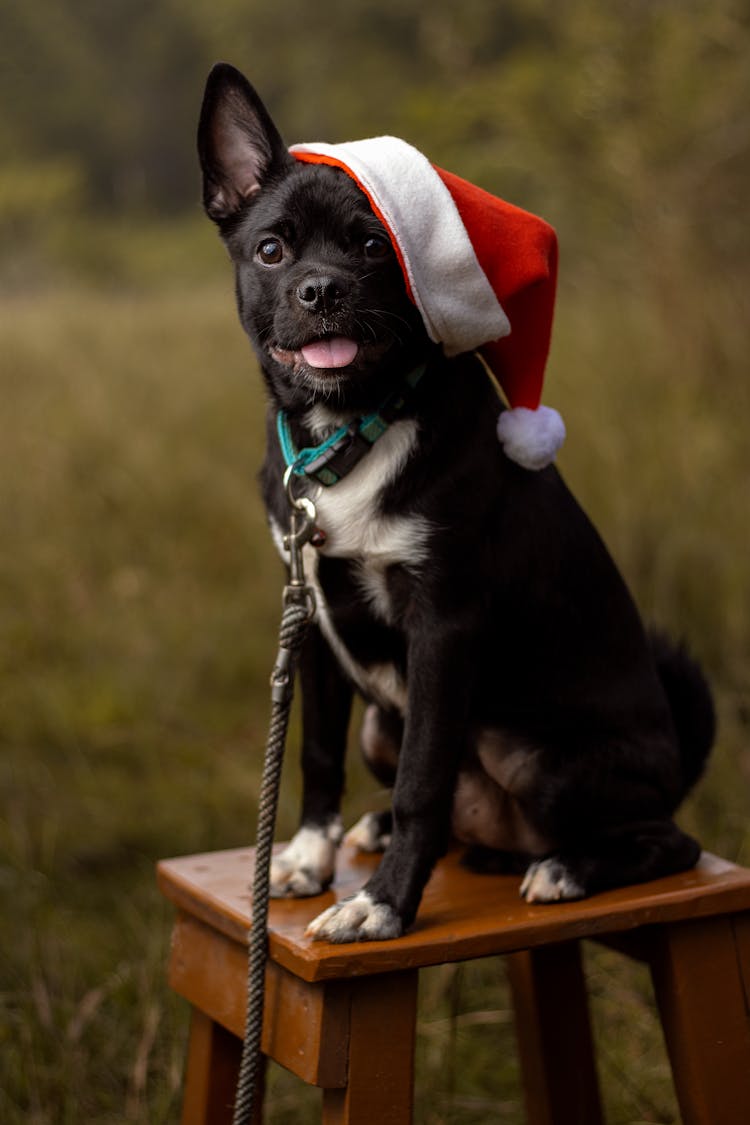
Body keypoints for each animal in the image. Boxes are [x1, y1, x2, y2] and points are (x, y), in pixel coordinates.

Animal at [196, 61, 715, 940]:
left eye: (375, 246)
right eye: (270, 249)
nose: (321, 289)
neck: (356, 423)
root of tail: (674, 764)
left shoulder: (443, 624)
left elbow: (423, 781)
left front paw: (381, 904)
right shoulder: (314, 618)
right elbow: (317, 753)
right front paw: (307, 857)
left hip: (544, 760)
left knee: (667, 840)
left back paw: (568, 867)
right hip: (384, 721)